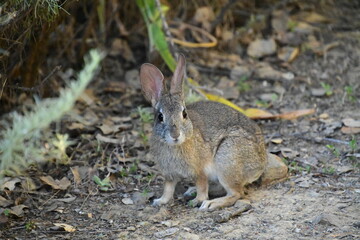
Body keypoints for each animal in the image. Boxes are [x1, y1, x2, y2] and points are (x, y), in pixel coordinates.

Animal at [140, 54, 268, 210]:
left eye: (184, 114)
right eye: (160, 117)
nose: (175, 135)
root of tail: (261, 163)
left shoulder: (200, 170)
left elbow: (201, 185)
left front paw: (198, 200)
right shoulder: (169, 174)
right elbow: (168, 189)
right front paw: (160, 201)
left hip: (227, 159)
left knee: (236, 193)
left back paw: (210, 203)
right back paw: (191, 191)